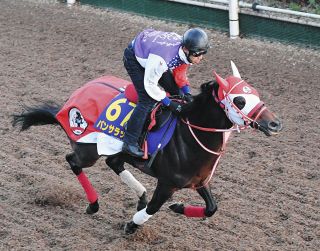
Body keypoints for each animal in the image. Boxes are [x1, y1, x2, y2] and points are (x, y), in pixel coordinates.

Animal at [12, 62, 282, 233]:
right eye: (240, 100)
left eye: (256, 94)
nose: (275, 123)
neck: (190, 134)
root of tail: (73, 97)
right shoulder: (167, 183)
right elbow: (154, 207)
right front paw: (132, 225)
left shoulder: (199, 181)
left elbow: (212, 208)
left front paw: (178, 207)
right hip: (88, 149)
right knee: (73, 161)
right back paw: (94, 204)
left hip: (115, 151)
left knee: (113, 162)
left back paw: (139, 194)